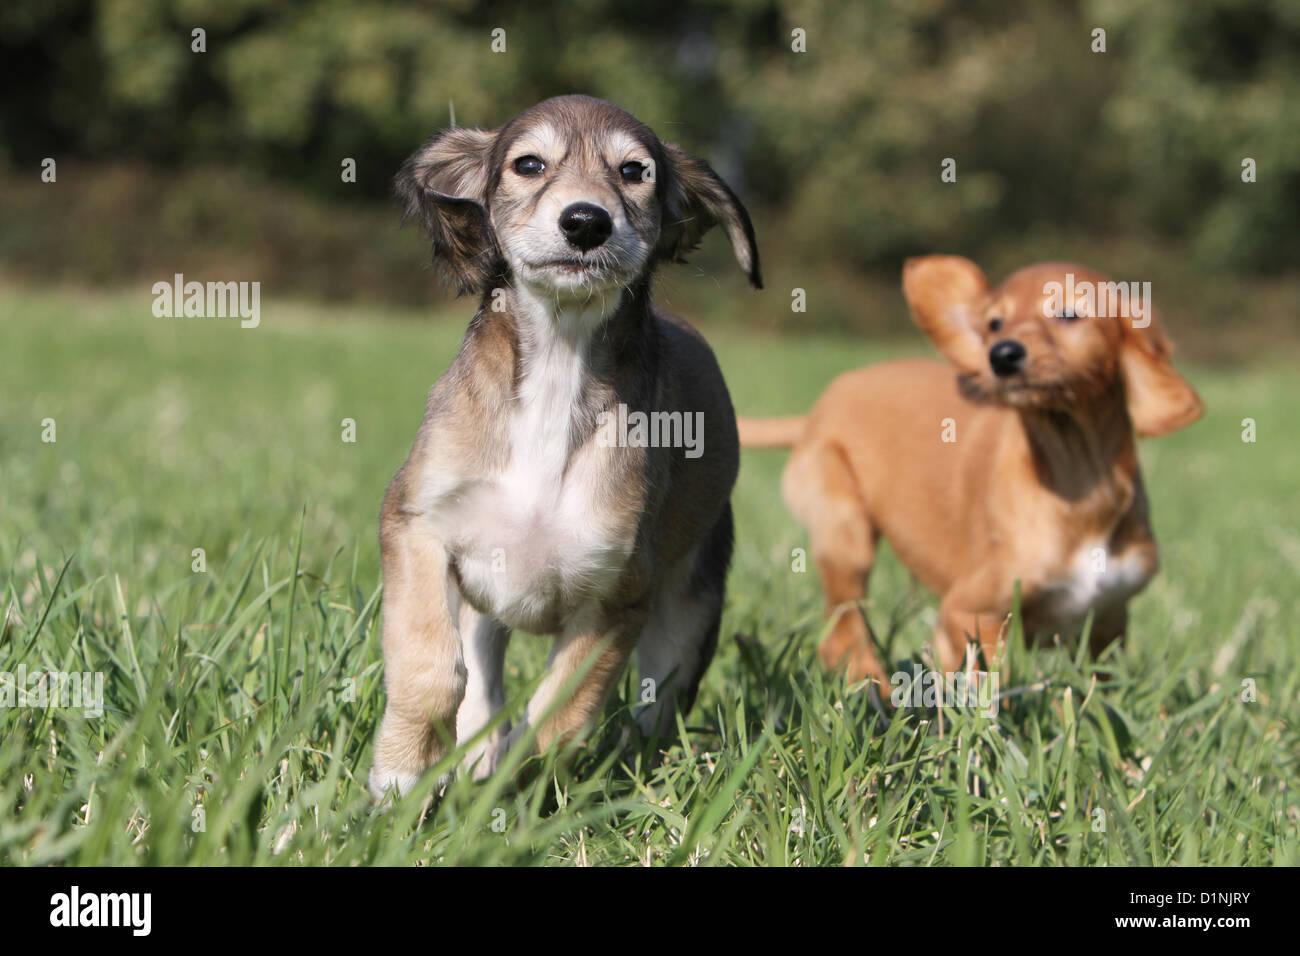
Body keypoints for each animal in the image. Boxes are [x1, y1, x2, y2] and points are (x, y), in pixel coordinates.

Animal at [369, 97, 759, 801]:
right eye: (529, 165)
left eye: (635, 172)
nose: (585, 221)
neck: (558, 362)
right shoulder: (415, 524)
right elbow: (433, 668)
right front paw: (401, 777)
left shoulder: (618, 595)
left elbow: (558, 716)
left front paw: (514, 803)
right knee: (481, 679)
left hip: (689, 609)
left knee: (654, 710)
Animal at [738, 257, 1201, 686]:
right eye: (995, 323)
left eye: (1069, 313)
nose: (1002, 355)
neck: (1077, 478)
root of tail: (814, 415)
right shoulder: (973, 610)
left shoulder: (1106, 623)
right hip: (844, 531)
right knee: (842, 635)